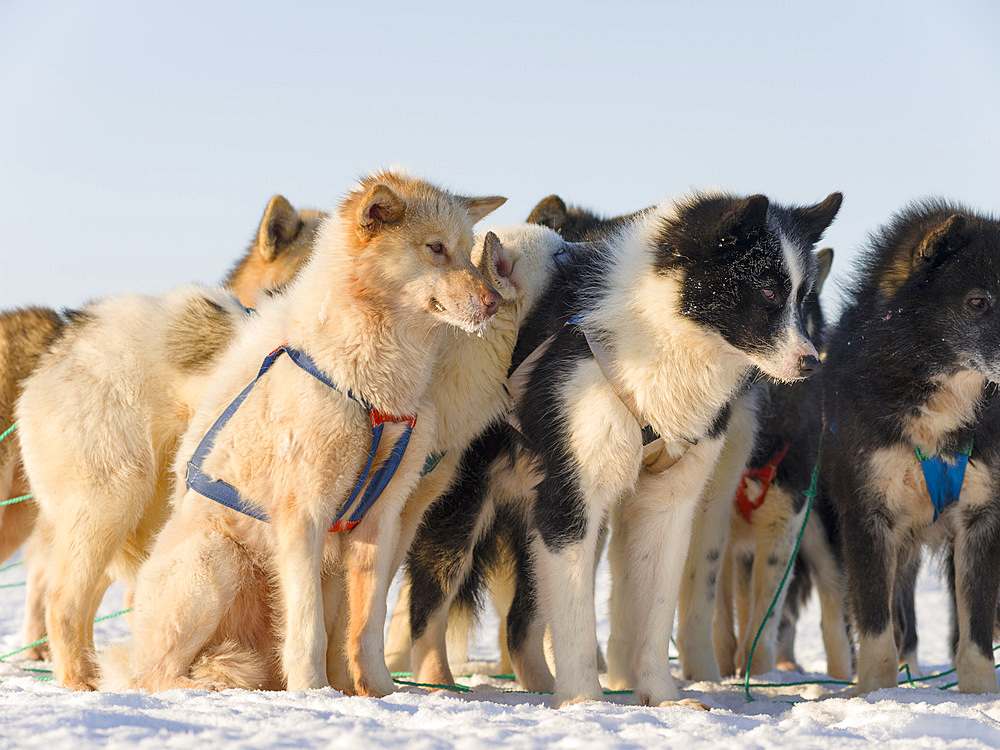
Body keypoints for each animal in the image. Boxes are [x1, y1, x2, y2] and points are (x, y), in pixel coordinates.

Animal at [410, 191, 840, 708]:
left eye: (802, 297)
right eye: (769, 292)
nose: (812, 362)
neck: (658, 342)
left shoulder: (668, 507)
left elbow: (653, 617)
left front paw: (661, 696)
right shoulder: (572, 501)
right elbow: (576, 622)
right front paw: (584, 703)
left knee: (519, 626)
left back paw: (539, 686)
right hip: (465, 511)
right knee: (428, 606)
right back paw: (434, 683)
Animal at [820, 201, 1000, 700]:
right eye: (977, 302)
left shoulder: (981, 519)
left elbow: (976, 630)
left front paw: (980, 696)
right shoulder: (868, 517)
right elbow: (878, 626)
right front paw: (873, 695)